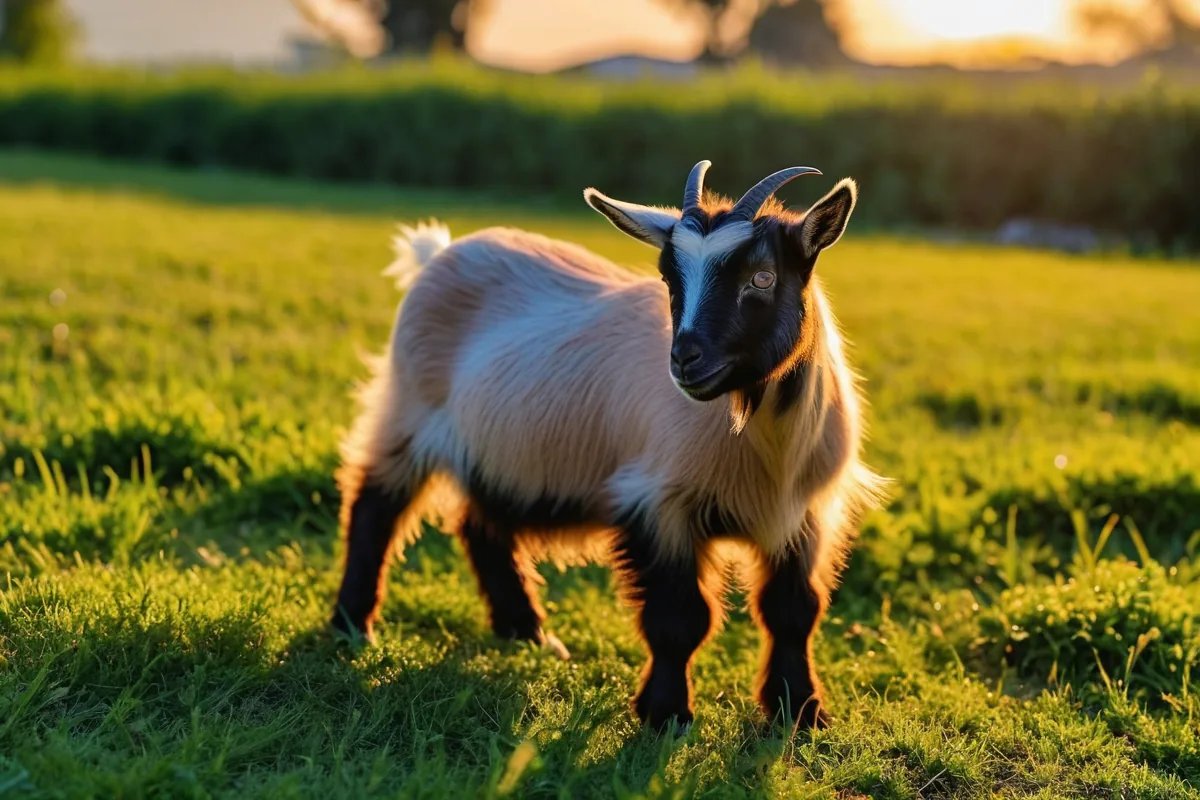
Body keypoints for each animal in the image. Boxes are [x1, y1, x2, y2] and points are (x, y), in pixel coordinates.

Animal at [330, 161, 882, 730]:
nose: (684, 359)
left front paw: (801, 711)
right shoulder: (658, 503)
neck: (765, 441)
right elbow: (679, 618)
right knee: (375, 504)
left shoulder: (806, 514)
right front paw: (666, 715)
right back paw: (353, 625)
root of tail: (439, 254)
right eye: (668, 278)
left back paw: (528, 632)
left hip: (500, 445)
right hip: (408, 408)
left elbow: (794, 611)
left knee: (479, 523)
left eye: (763, 278)